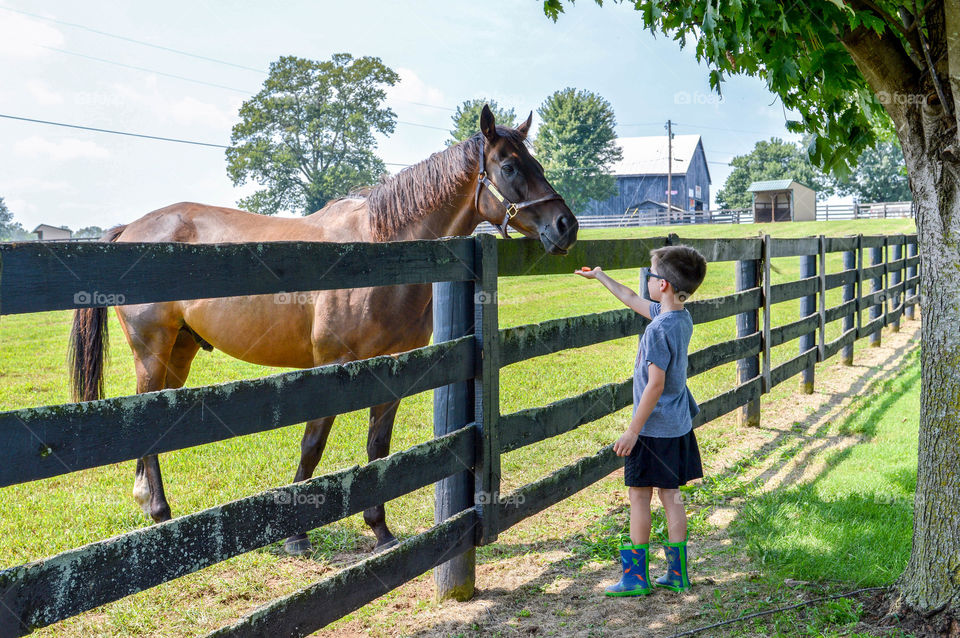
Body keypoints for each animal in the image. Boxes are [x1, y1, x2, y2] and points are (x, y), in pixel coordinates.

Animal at [69, 107, 576, 556]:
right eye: (509, 166)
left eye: (537, 163)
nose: (566, 226)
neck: (380, 251)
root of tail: (131, 229)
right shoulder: (331, 368)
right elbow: (313, 446)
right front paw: (296, 534)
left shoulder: (392, 372)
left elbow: (379, 451)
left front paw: (380, 529)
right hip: (152, 350)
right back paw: (158, 509)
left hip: (180, 352)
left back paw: (149, 502)